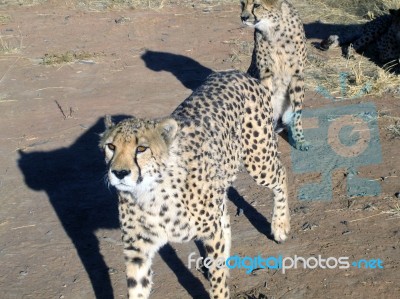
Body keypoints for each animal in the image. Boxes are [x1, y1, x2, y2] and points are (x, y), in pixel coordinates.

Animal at [98, 71, 290, 299]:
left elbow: (218, 283)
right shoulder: (137, 249)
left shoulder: (211, 232)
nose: (119, 173)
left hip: (258, 159)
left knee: (281, 174)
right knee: (225, 217)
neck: (150, 191)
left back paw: (280, 226)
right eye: (111, 146)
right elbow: (137, 289)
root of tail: (239, 74)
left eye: (141, 148)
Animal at [241, 0, 310, 151]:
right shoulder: (265, 74)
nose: (243, 17)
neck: (274, 28)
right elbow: (267, 105)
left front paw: (300, 139)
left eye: (256, 5)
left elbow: (297, 113)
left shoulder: (297, 75)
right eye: (242, 3)